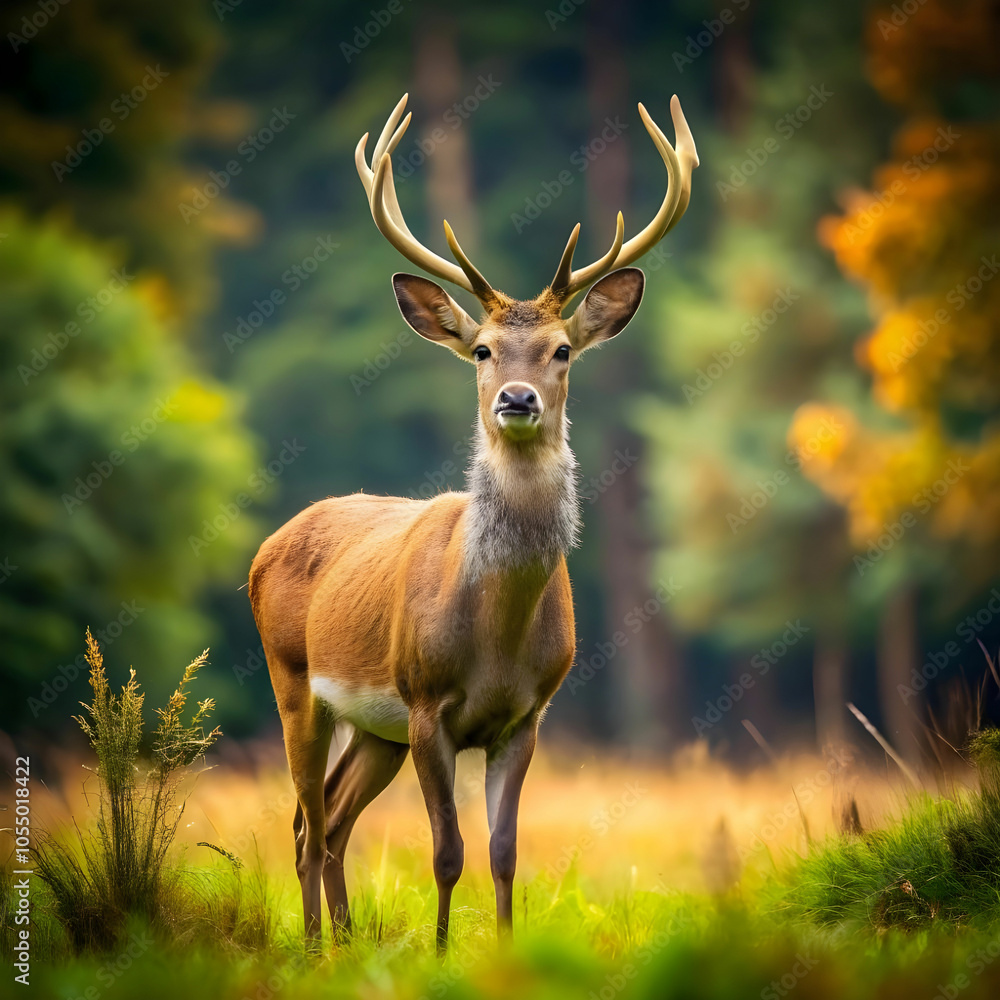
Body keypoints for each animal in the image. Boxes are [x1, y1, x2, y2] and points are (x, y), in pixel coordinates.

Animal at [247, 92, 697, 954]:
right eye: (483, 349)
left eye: (562, 350)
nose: (516, 400)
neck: (496, 633)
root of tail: (267, 547)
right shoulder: (427, 706)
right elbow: (447, 850)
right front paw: (442, 951)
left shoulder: (526, 715)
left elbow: (503, 850)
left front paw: (507, 949)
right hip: (296, 683)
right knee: (304, 823)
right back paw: (318, 948)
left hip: (373, 729)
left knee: (333, 820)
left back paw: (346, 942)